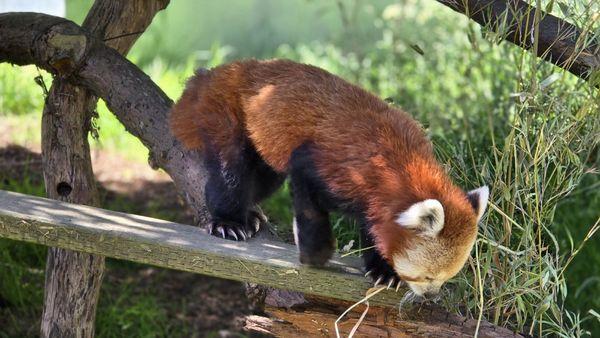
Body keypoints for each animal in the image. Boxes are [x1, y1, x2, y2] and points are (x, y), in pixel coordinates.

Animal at [169, 58, 488, 296]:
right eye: (427, 277)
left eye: (446, 277)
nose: (431, 296)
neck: (401, 162)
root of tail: (222, 70)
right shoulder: (331, 165)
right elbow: (309, 201)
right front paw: (315, 254)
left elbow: (373, 227)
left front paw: (384, 271)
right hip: (227, 113)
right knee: (231, 172)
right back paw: (228, 221)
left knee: (262, 179)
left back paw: (249, 214)